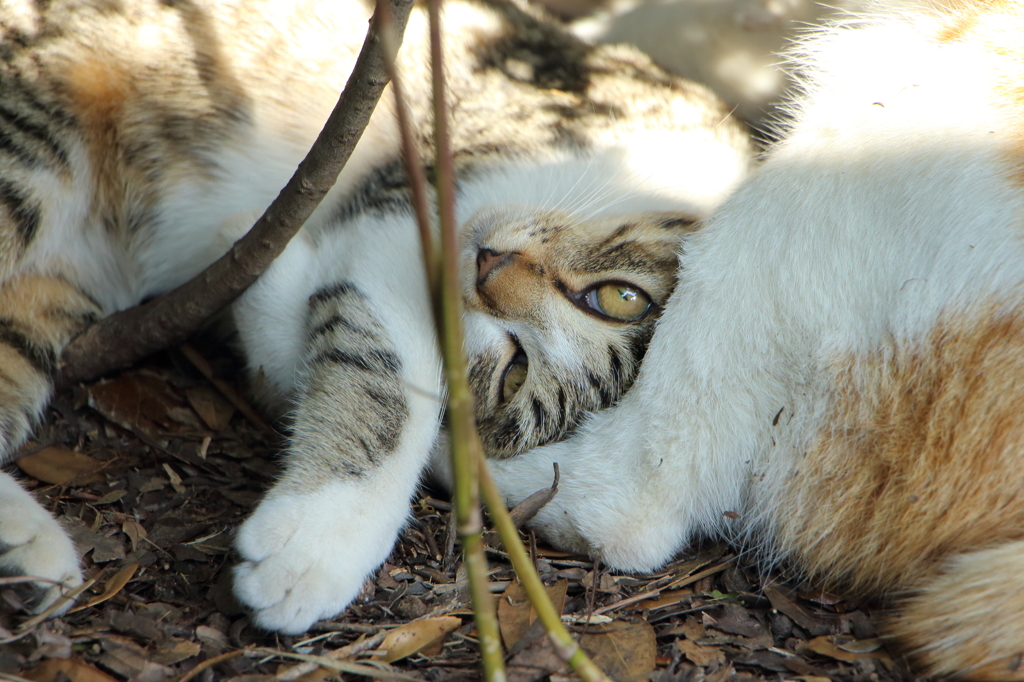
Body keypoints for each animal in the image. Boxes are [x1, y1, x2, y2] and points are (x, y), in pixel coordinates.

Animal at [0, 0, 753, 630]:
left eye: (513, 372)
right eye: (620, 296)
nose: (489, 269)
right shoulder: (413, 202)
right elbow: (394, 377)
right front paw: (316, 542)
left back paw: (23, 553)